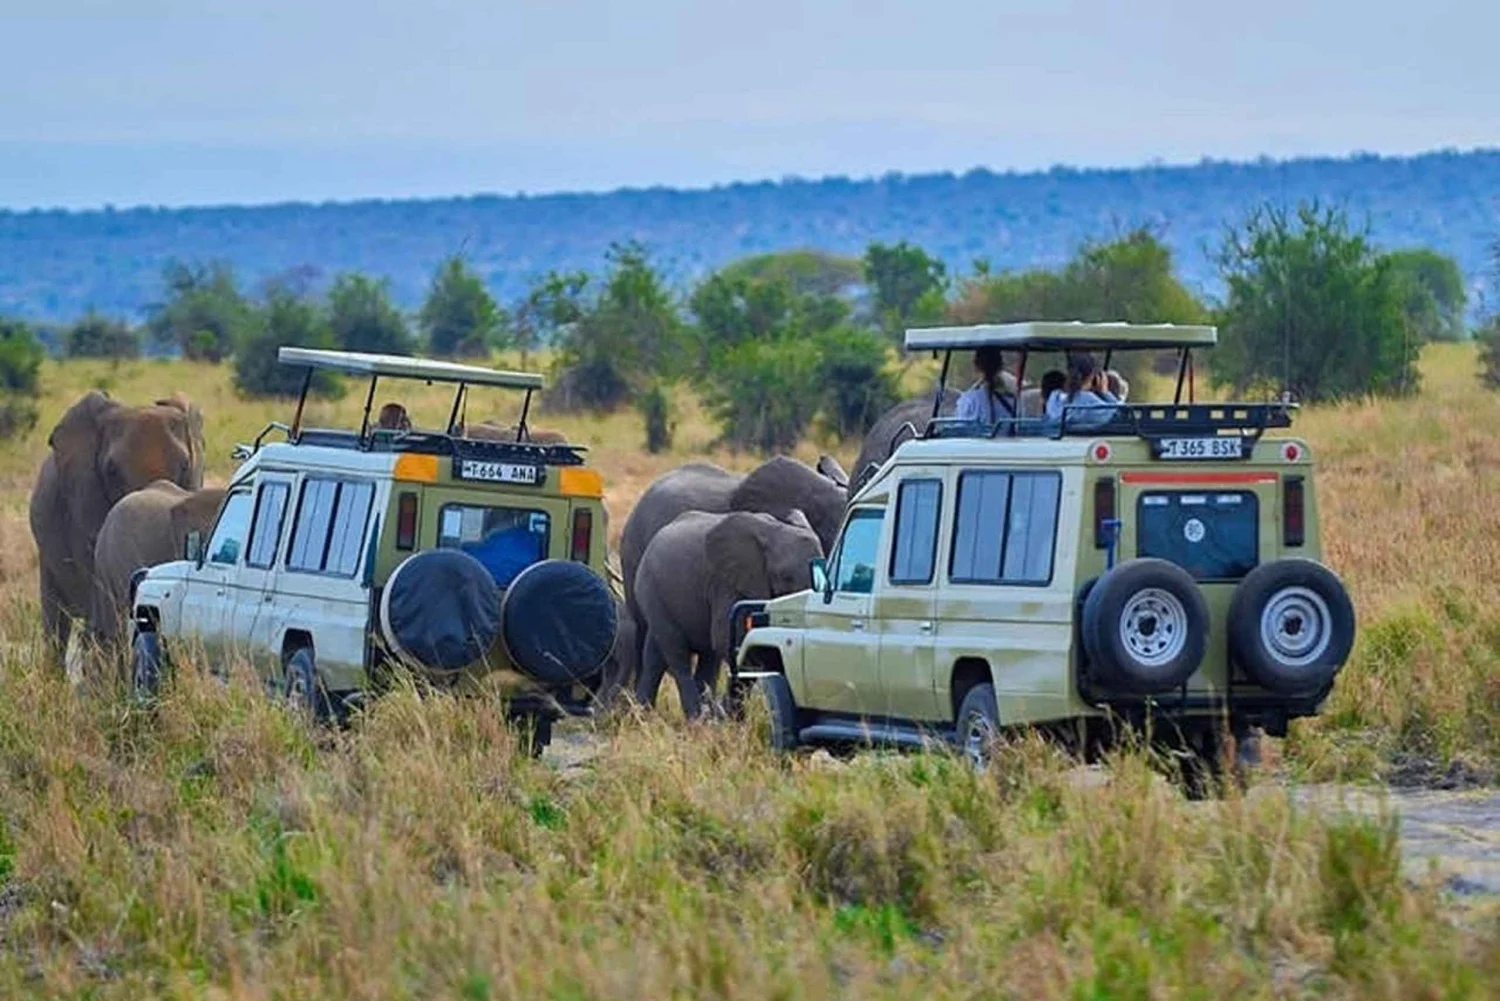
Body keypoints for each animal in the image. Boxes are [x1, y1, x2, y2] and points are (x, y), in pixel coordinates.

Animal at [630, 510, 822, 720]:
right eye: (786, 577)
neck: (773, 531)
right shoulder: (726, 583)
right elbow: (729, 641)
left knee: (665, 657)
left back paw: (645, 716)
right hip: (652, 590)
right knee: (677, 654)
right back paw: (697, 720)